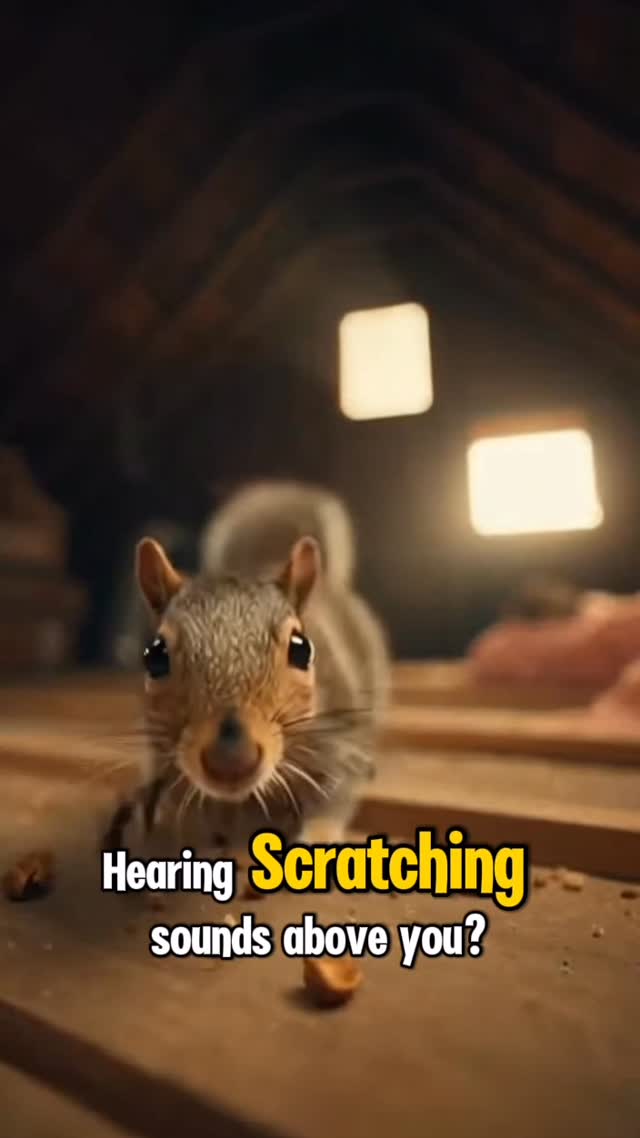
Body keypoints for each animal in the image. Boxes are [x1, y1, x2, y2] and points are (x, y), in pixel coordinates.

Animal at [103, 480, 390, 851]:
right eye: (155, 656)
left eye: (302, 649)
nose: (230, 757)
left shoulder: (340, 736)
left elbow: (334, 798)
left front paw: (318, 836)